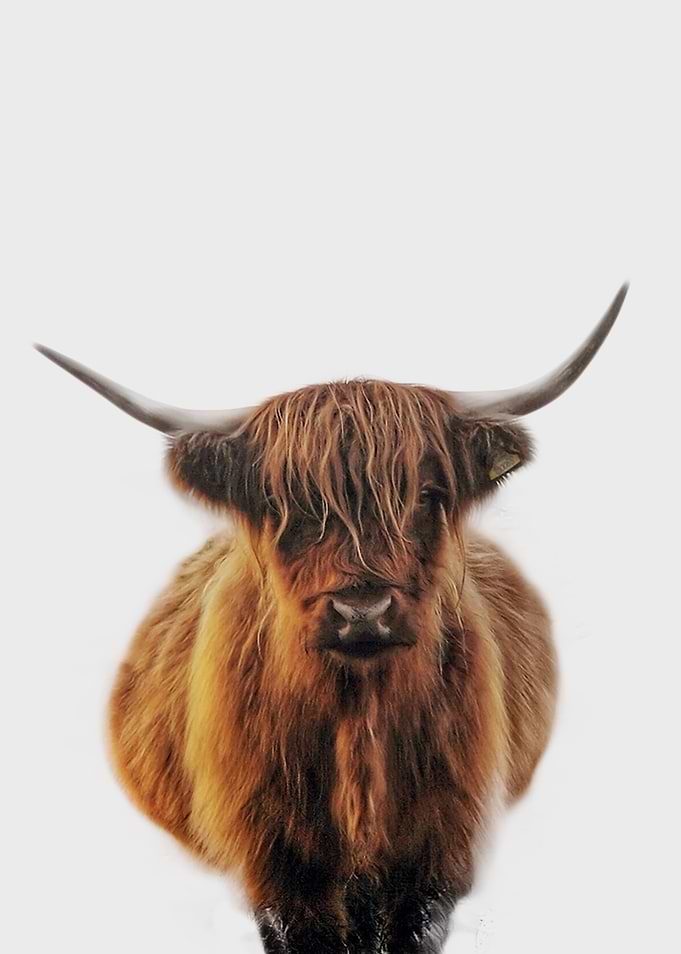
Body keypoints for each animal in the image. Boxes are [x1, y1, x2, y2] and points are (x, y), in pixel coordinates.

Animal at [36, 284, 627, 953]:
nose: (361, 613)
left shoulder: (440, 852)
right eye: (279, 503)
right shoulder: (273, 862)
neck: (357, 719)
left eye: (426, 495)